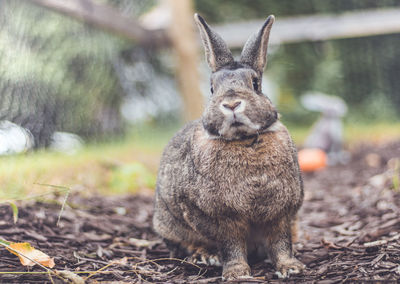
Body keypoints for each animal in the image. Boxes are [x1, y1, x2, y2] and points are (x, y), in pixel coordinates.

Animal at [152, 12, 304, 280]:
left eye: (256, 84)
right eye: (212, 88)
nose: (232, 104)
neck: (244, 140)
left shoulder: (282, 214)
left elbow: (281, 242)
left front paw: (291, 268)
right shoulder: (220, 218)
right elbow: (231, 246)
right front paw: (237, 273)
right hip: (169, 224)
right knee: (182, 245)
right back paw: (204, 256)